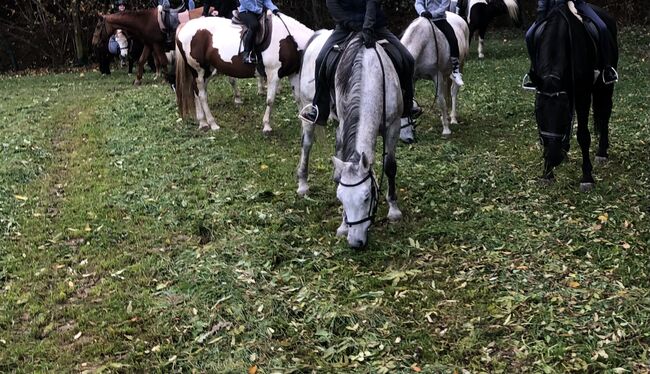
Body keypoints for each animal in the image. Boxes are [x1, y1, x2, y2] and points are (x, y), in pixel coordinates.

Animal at [175, 12, 312, 134]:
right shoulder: (273, 75)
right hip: (199, 71)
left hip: (207, 72)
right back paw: (212, 123)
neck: (290, 40)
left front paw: (303, 123)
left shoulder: (293, 73)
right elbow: (270, 100)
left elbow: (298, 98)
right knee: (202, 96)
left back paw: (203, 123)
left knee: (196, 93)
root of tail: (184, 26)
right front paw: (267, 126)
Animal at [528, 5, 616, 193]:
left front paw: (587, 177)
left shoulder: (582, 95)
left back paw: (602, 152)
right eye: (537, 112)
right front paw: (547, 173)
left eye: (563, 112)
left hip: (605, 86)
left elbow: (583, 135)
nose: (553, 157)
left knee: (605, 113)